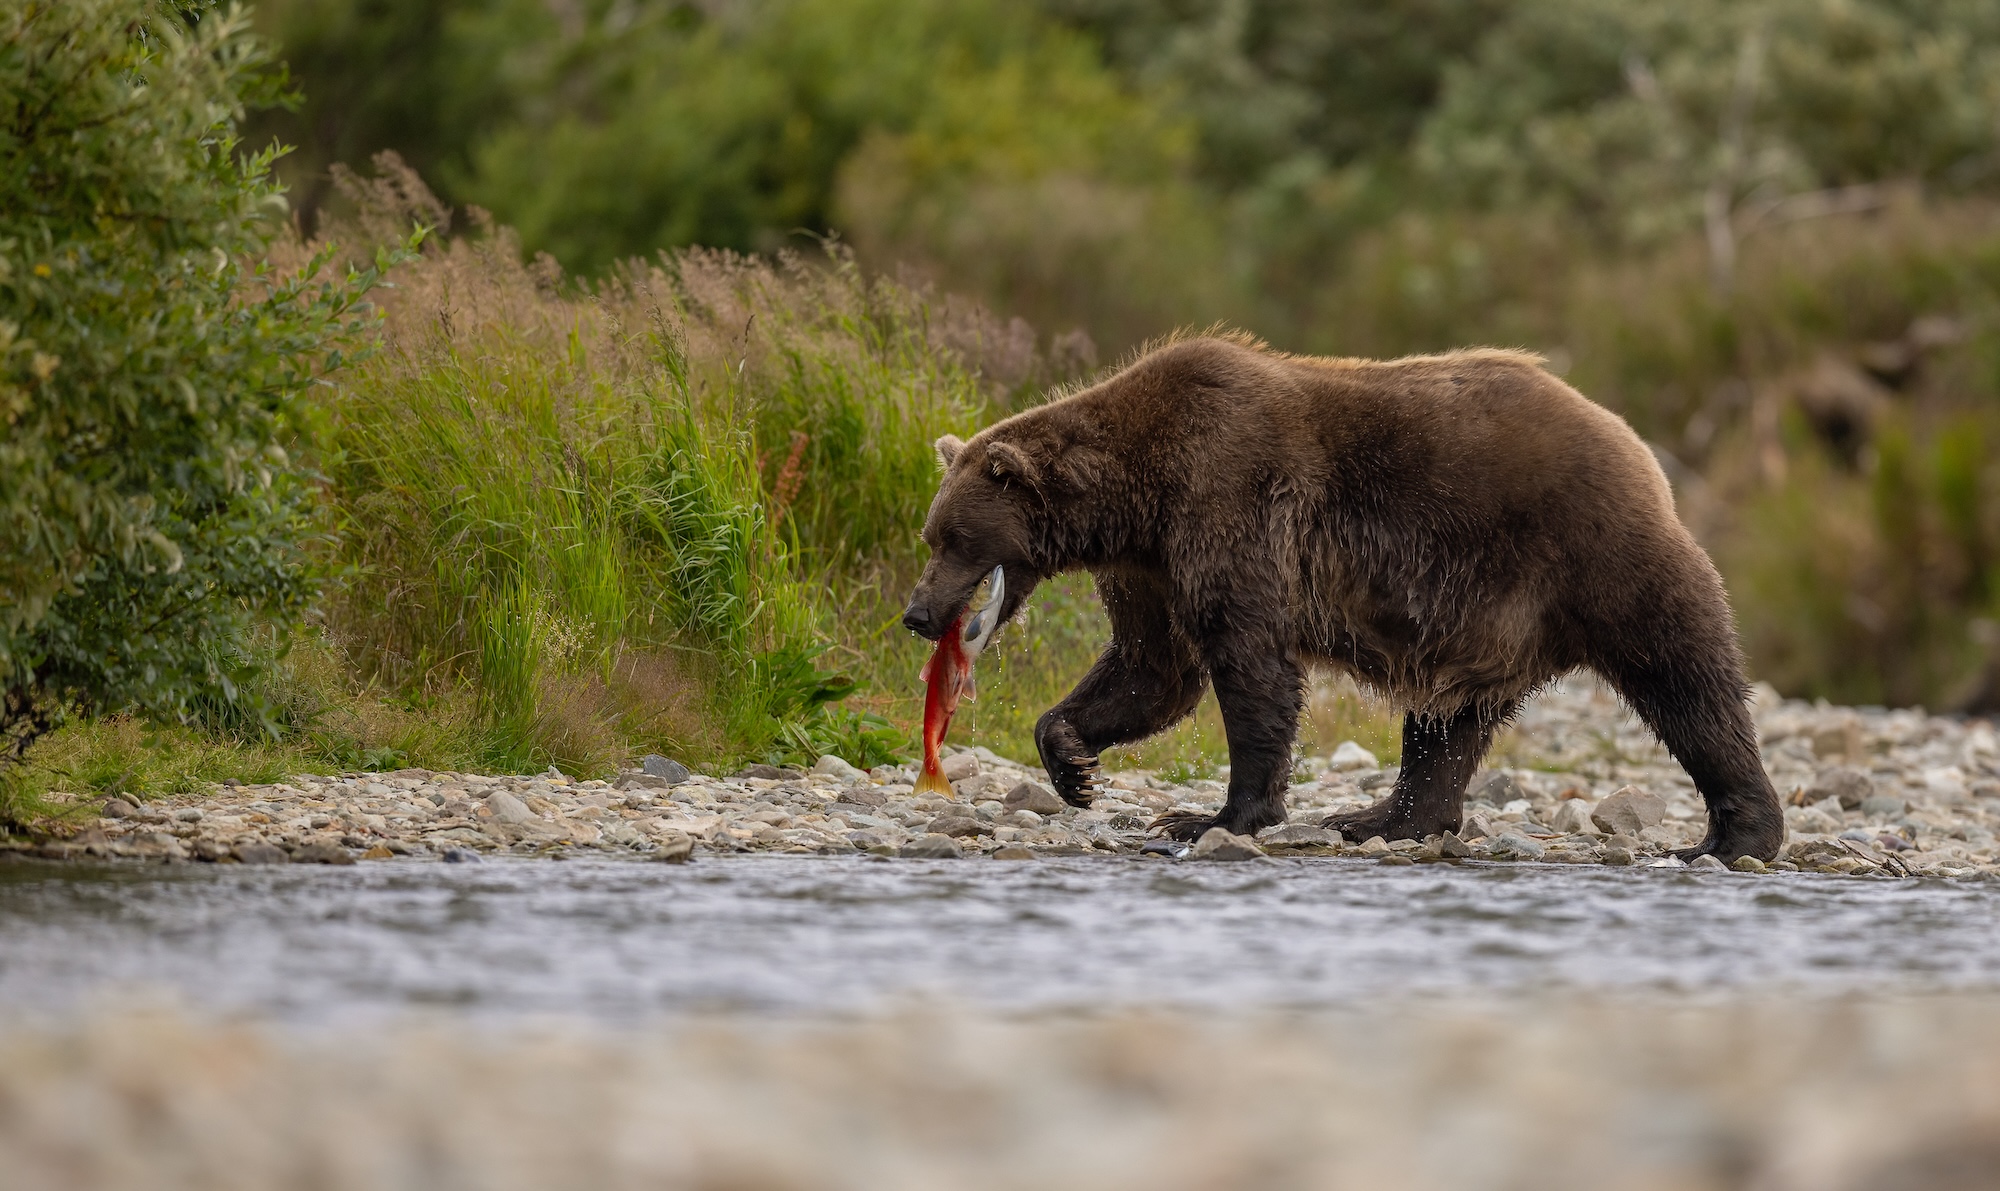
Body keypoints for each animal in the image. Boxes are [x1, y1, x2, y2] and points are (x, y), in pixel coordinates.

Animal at [900, 329, 1792, 859]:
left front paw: (1214, 815)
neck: (1134, 495)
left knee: (1686, 677)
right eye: (932, 533)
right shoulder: (1152, 564)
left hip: (1592, 553)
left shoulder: (1228, 504)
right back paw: (1379, 818)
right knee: (1447, 724)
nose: (916, 612)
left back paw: (1733, 833)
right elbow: (1152, 670)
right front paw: (1075, 766)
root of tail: (1633, 441)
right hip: (1482, 620)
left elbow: (1249, 666)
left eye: (954, 538)